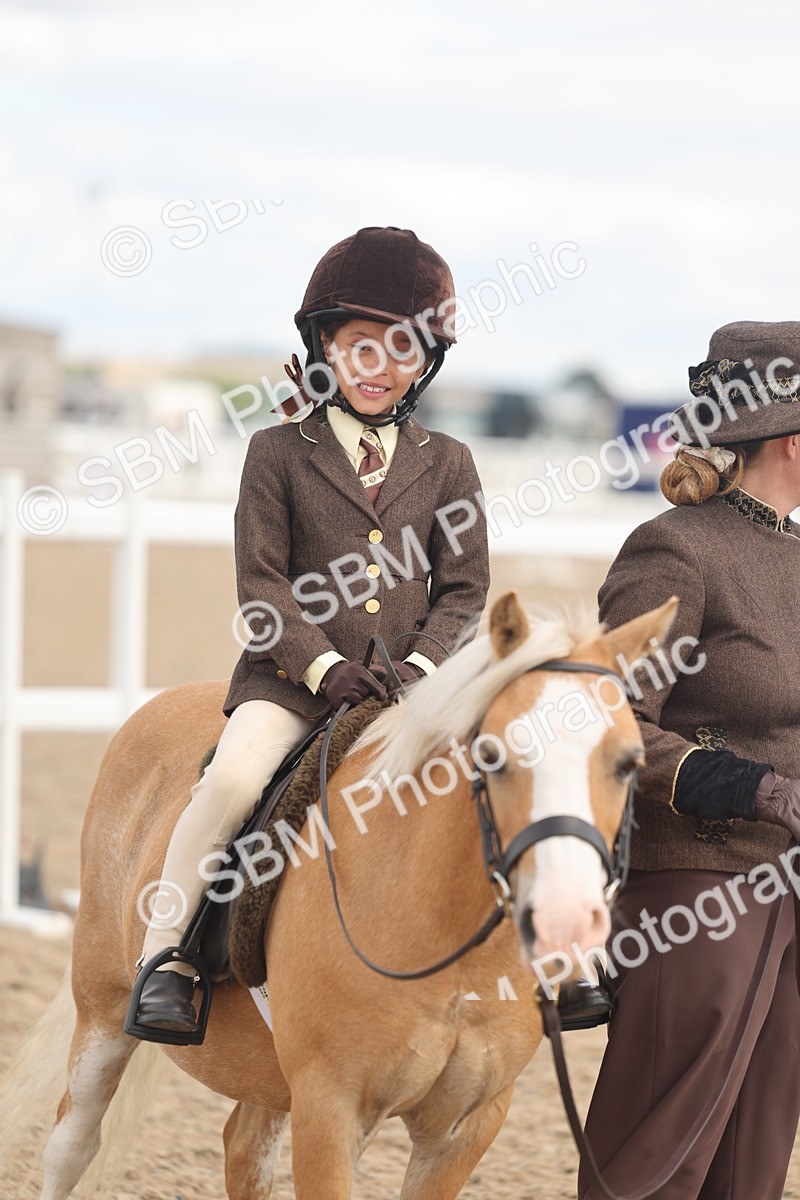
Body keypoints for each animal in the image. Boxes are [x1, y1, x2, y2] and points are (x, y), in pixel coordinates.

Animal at [1, 589, 676, 1199]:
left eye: (628, 762)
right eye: (493, 755)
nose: (567, 916)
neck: (442, 931)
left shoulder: (465, 1127)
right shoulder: (330, 1110)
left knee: (243, 1148)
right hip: (104, 1011)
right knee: (71, 1146)